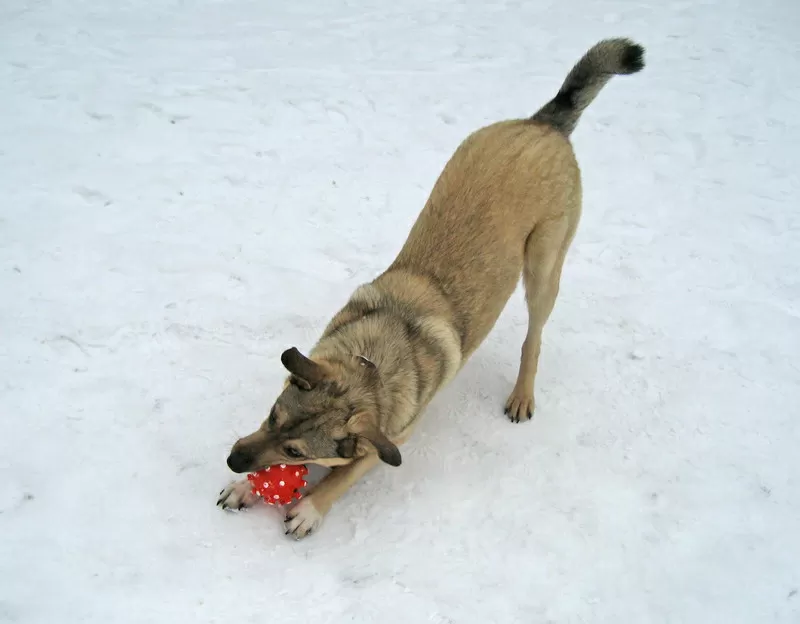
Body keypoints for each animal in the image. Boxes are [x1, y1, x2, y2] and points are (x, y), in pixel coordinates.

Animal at [217, 39, 644, 540]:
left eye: (296, 453)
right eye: (272, 416)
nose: (233, 459)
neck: (373, 365)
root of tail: (545, 124)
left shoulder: (394, 439)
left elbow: (345, 474)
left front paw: (310, 507)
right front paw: (245, 487)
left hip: (543, 266)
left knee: (534, 337)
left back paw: (522, 394)